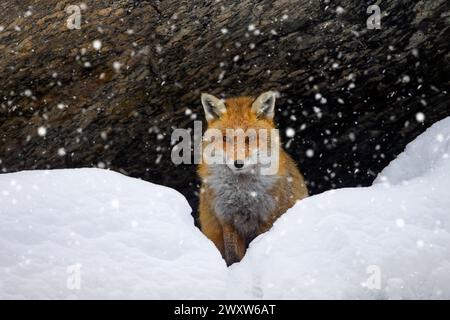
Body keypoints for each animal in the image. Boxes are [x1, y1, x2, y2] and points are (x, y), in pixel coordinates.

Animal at [199, 91, 308, 266]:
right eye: (225, 139)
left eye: (249, 138)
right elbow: (233, 256)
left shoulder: (267, 216)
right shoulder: (227, 219)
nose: (238, 163)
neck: (243, 193)